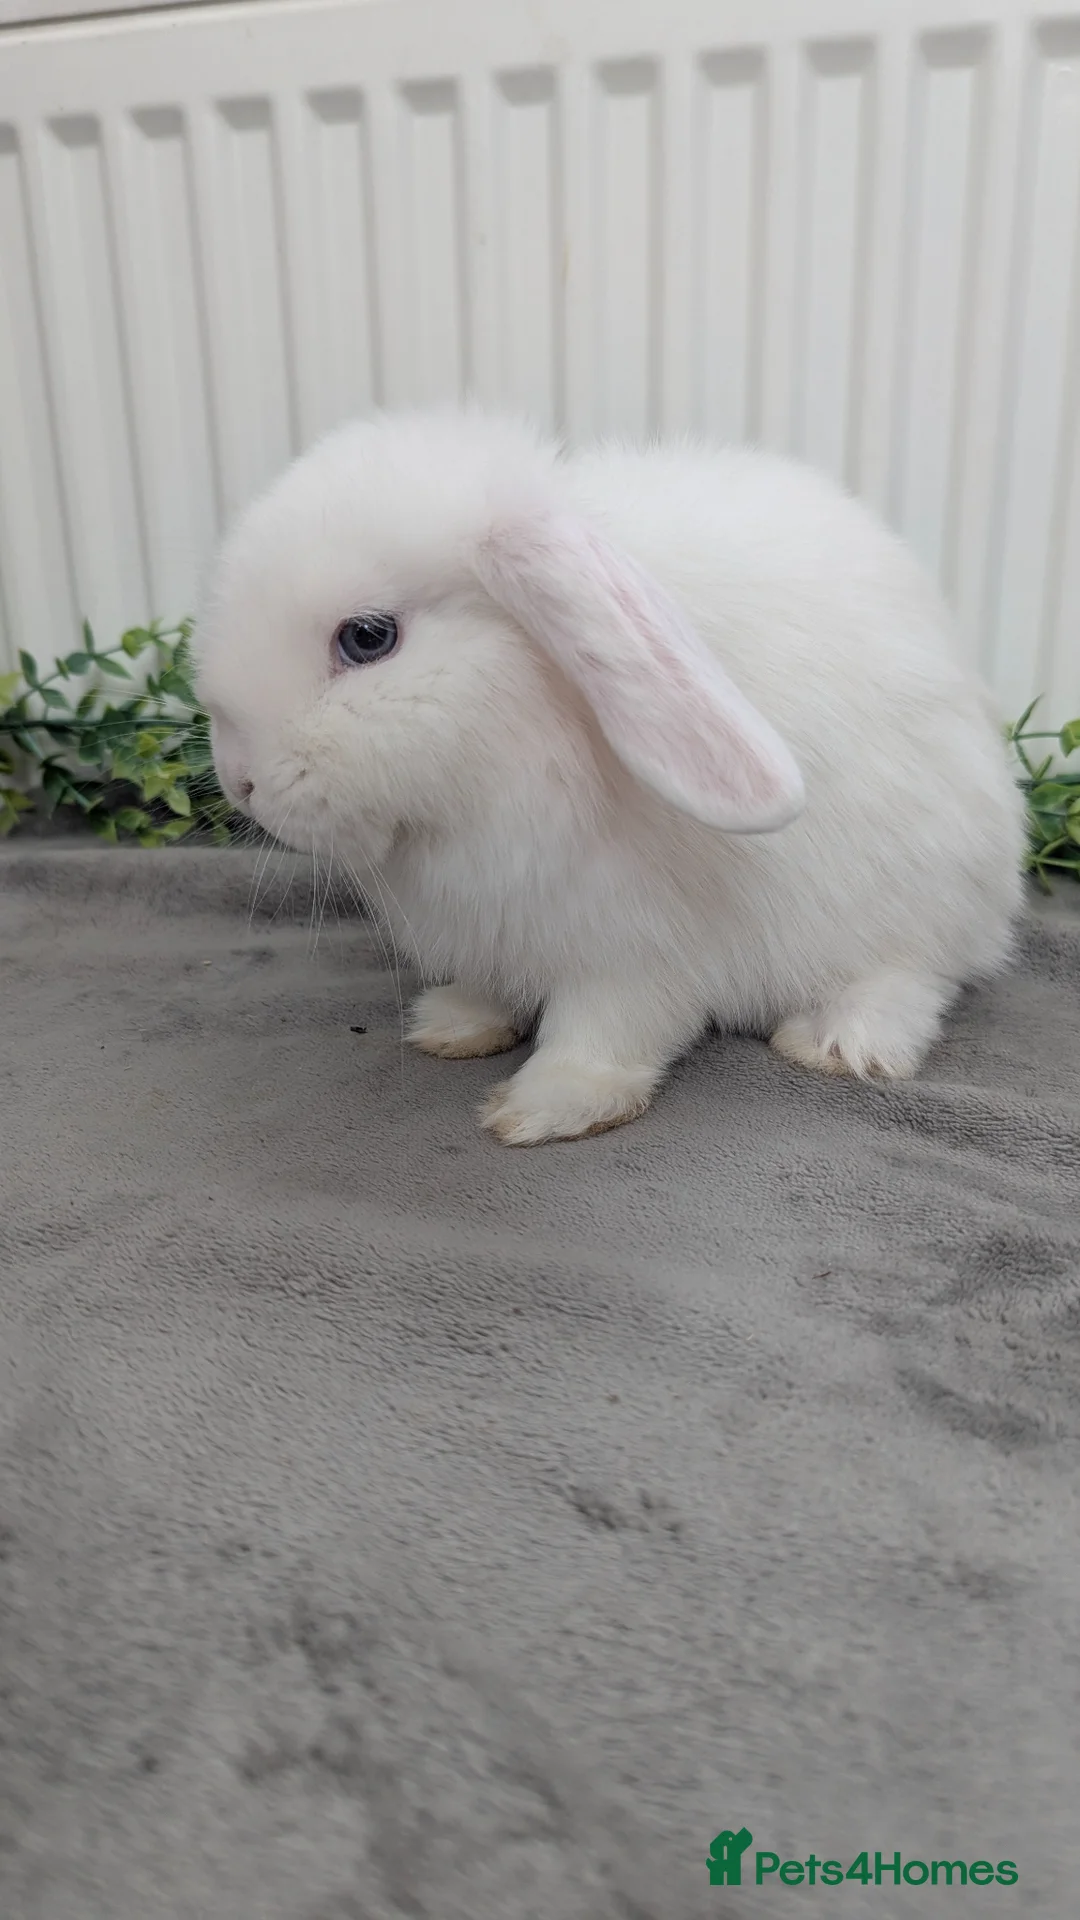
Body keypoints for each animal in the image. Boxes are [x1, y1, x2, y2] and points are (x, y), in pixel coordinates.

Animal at [195, 406, 1027, 1146]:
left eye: (368, 638)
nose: (241, 782)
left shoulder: (633, 947)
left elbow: (606, 1030)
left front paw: (549, 1106)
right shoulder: (500, 928)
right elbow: (493, 991)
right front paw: (455, 1024)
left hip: (914, 897)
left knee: (913, 978)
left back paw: (838, 1041)